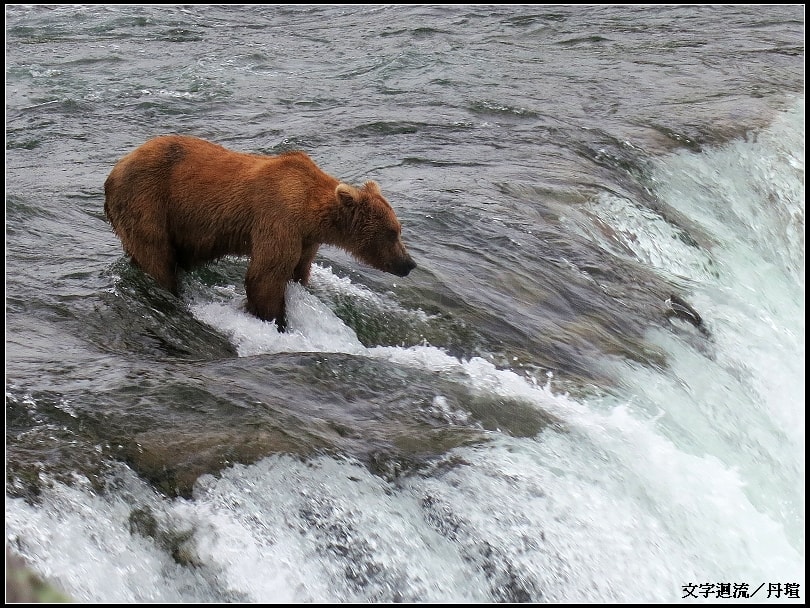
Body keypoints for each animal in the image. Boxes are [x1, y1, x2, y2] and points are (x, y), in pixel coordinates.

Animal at [104, 134, 416, 331]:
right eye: (392, 233)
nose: (408, 264)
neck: (311, 213)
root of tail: (113, 171)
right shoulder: (279, 219)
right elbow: (265, 276)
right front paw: (275, 321)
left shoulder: (305, 239)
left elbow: (298, 271)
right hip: (147, 201)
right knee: (155, 255)